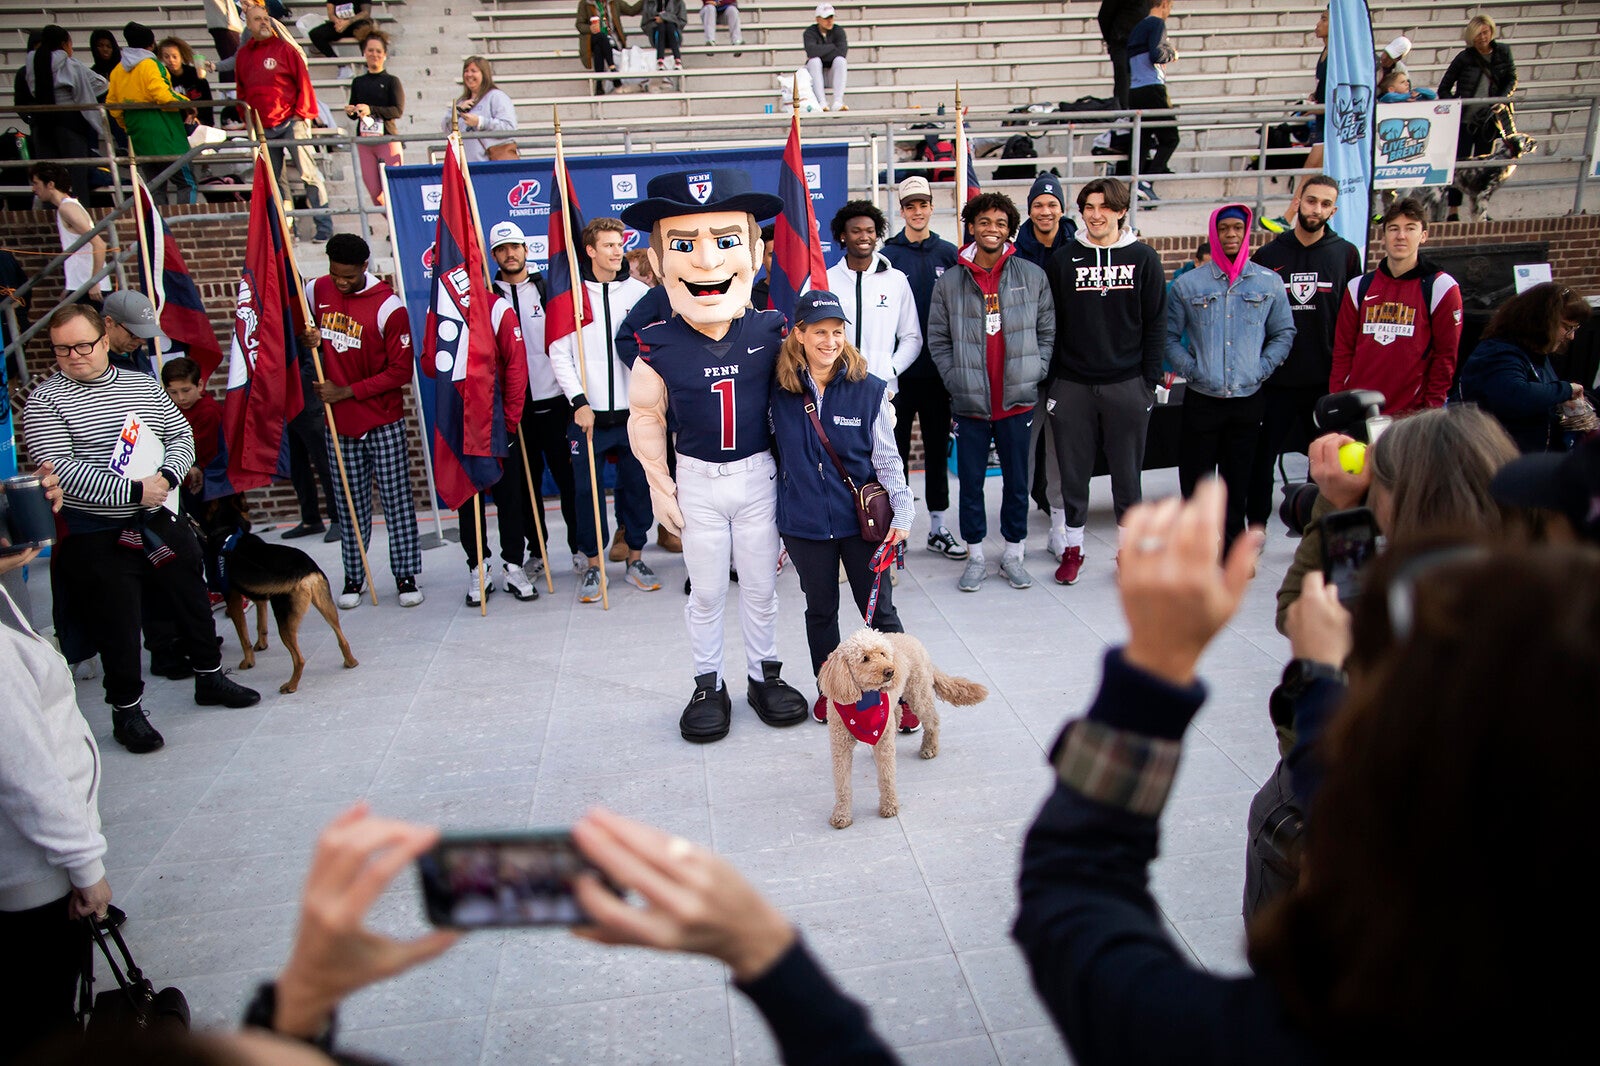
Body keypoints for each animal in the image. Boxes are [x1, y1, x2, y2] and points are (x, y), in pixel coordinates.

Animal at [194, 496, 360, 694]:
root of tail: (302, 570)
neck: (230, 528)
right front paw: (261, 645)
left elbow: (243, 636)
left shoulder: (232, 599)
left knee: (299, 659)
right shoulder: (260, 598)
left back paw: (291, 685)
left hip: (284, 621)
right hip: (326, 606)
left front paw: (248, 661)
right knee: (342, 639)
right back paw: (350, 662)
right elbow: (261, 624)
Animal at [825, 627, 985, 825]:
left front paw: (889, 806)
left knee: (933, 720)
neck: (862, 700)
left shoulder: (882, 743)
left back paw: (929, 748)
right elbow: (842, 783)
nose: (890, 671)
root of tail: (910, 638)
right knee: (898, 712)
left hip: (918, 694)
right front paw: (841, 815)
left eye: (882, 653)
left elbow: (886, 776)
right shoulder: (840, 747)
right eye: (865, 658)